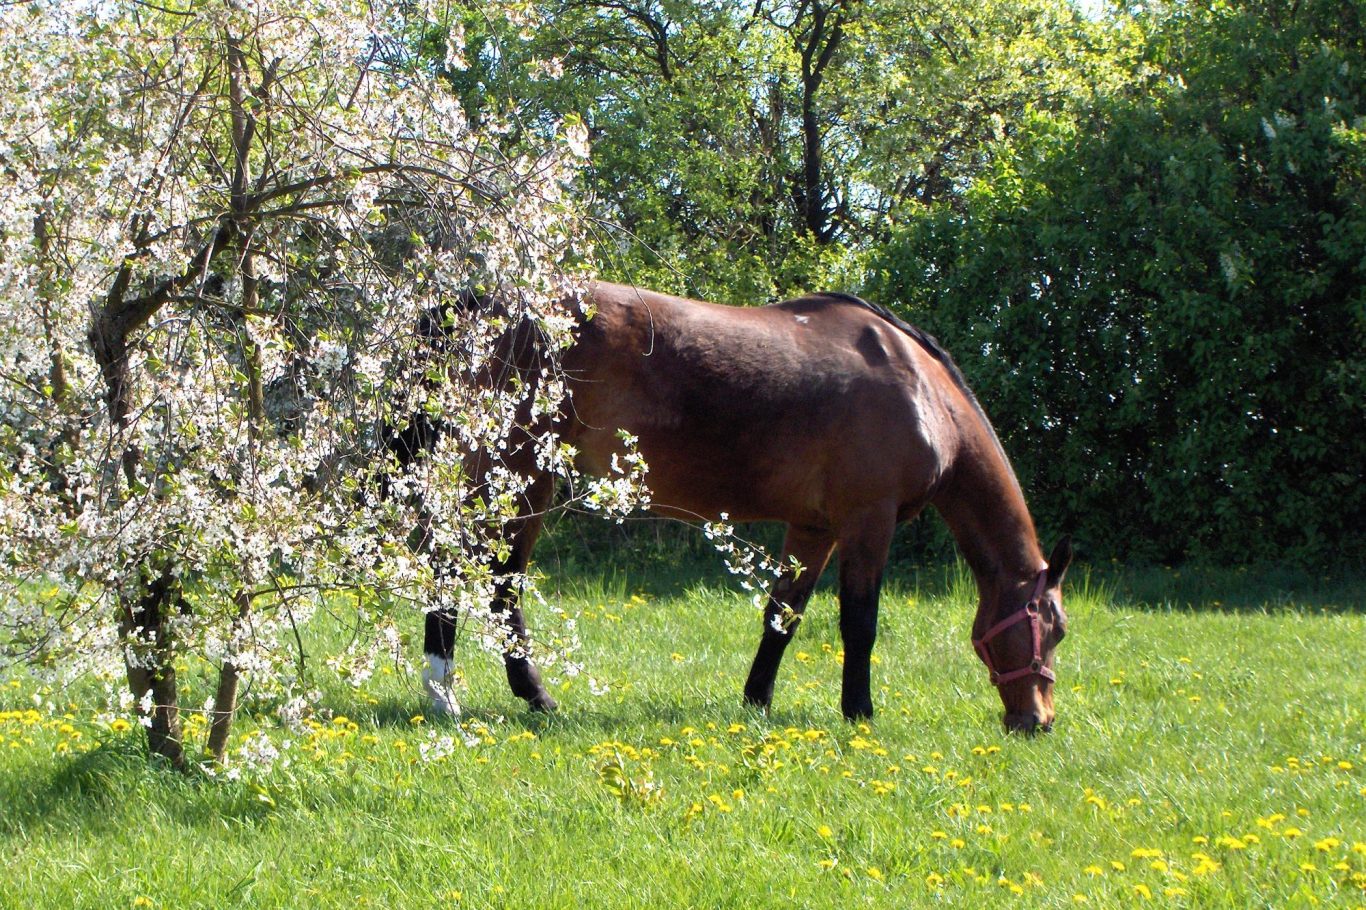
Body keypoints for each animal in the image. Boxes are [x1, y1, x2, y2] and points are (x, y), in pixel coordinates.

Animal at [403, 281, 1072, 734]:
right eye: (1055, 628)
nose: (1037, 721)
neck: (920, 392)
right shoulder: (868, 521)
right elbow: (860, 623)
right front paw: (859, 712)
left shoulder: (813, 528)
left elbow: (783, 616)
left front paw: (756, 700)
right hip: (514, 472)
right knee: (474, 574)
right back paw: (476, 692)